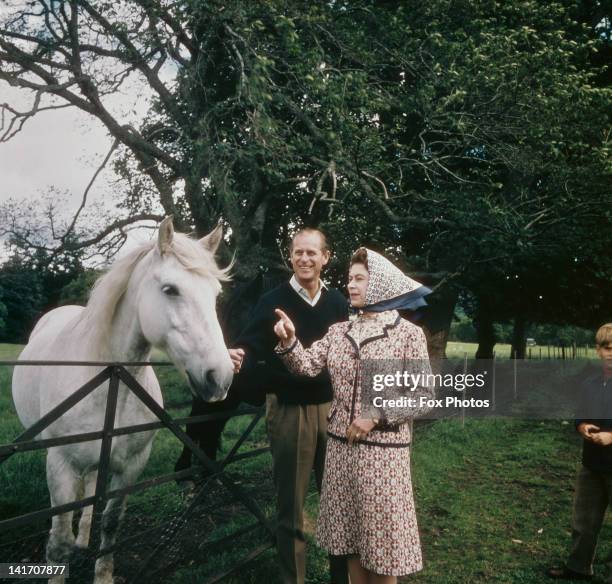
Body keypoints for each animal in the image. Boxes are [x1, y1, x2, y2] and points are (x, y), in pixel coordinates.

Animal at [10, 217, 234, 580]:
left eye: (215, 294)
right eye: (170, 289)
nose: (221, 377)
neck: (113, 382)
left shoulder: (131, 467)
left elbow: (112, 524)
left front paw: (103, 574)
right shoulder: (60, 465)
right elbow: (58, 541)